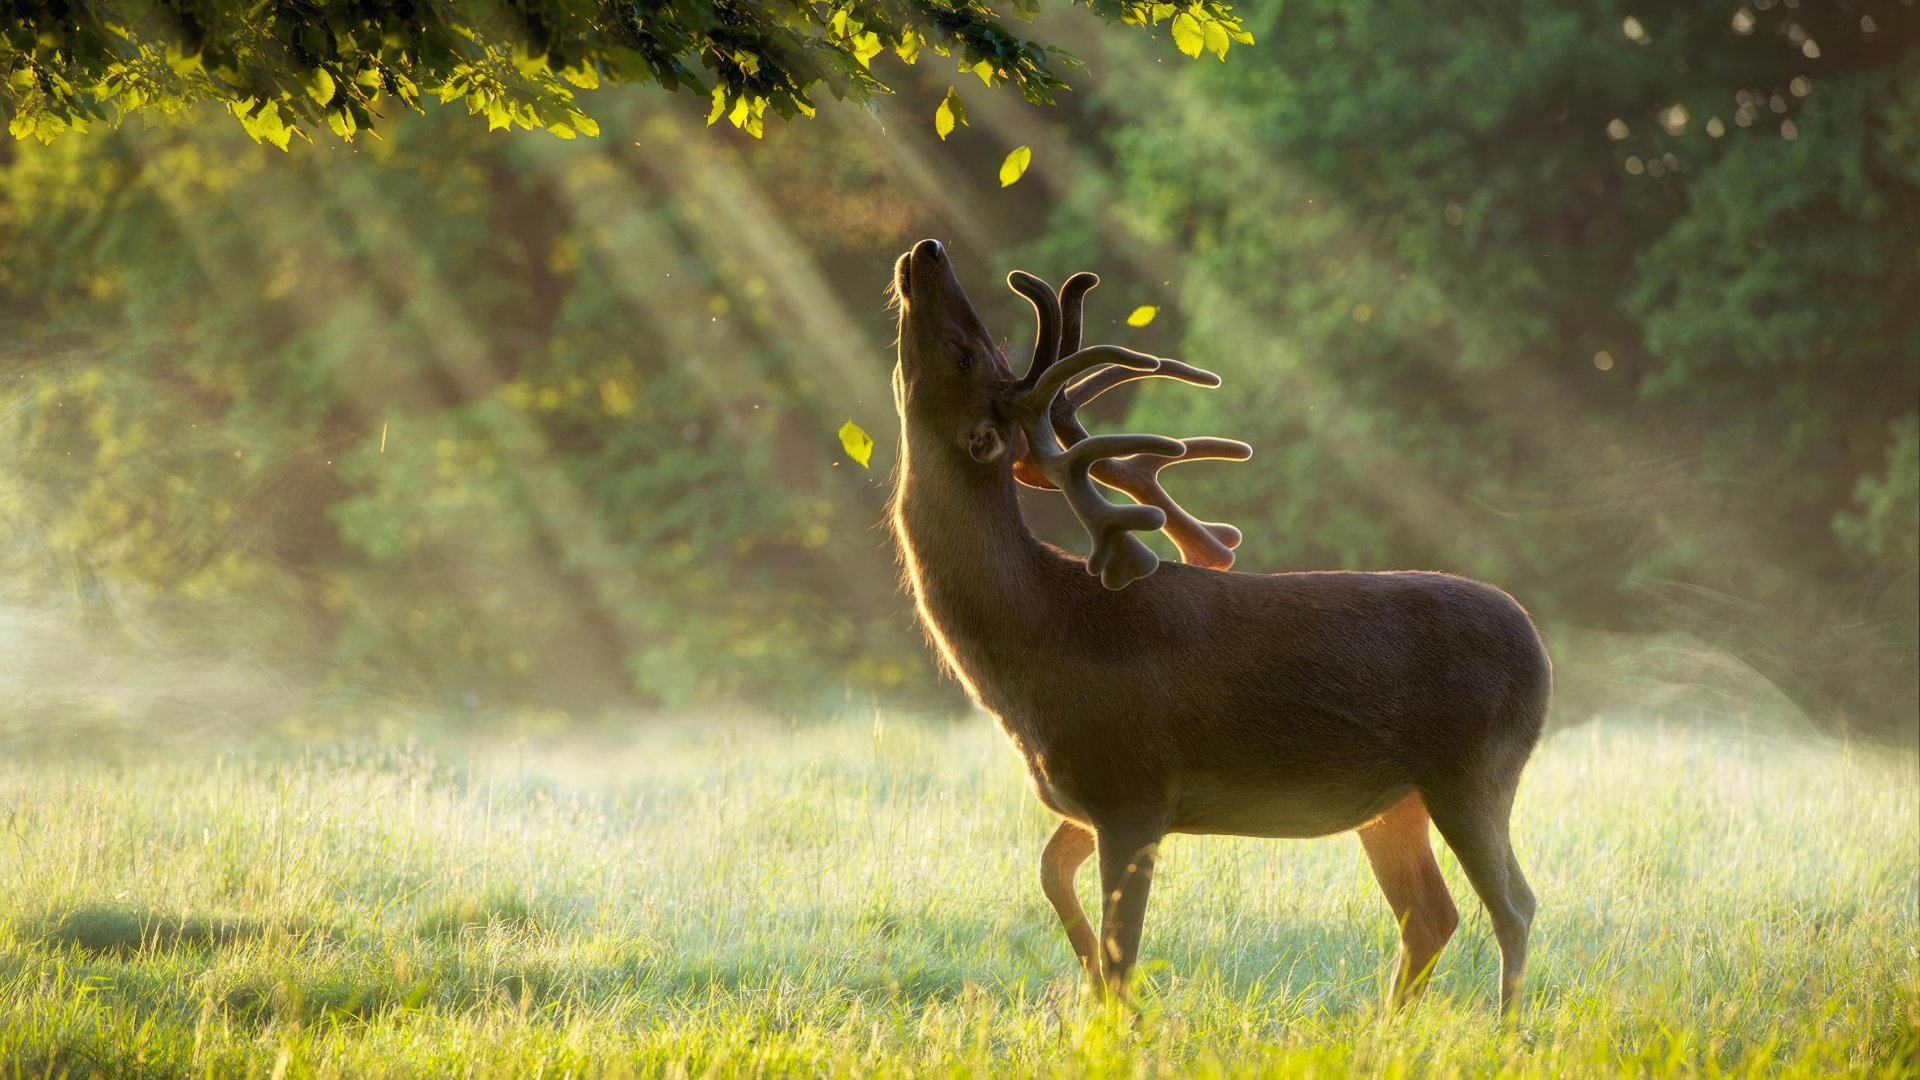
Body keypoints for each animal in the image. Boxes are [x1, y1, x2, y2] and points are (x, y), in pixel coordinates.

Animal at [885, 238, 1552, 1014]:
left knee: (1513, 905)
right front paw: (1097, 996)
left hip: (1477, 769)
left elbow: (1122, 950)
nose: (928, 249)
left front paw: (1114, 1018)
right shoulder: (1092, 795)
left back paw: (1504, 1028)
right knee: (1431, 914)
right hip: (1394, 802)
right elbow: (1052, 875)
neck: (1037, 647)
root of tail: (1539, 649)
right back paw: (1391, 1028)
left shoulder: (1132, 786)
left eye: (966, 353)